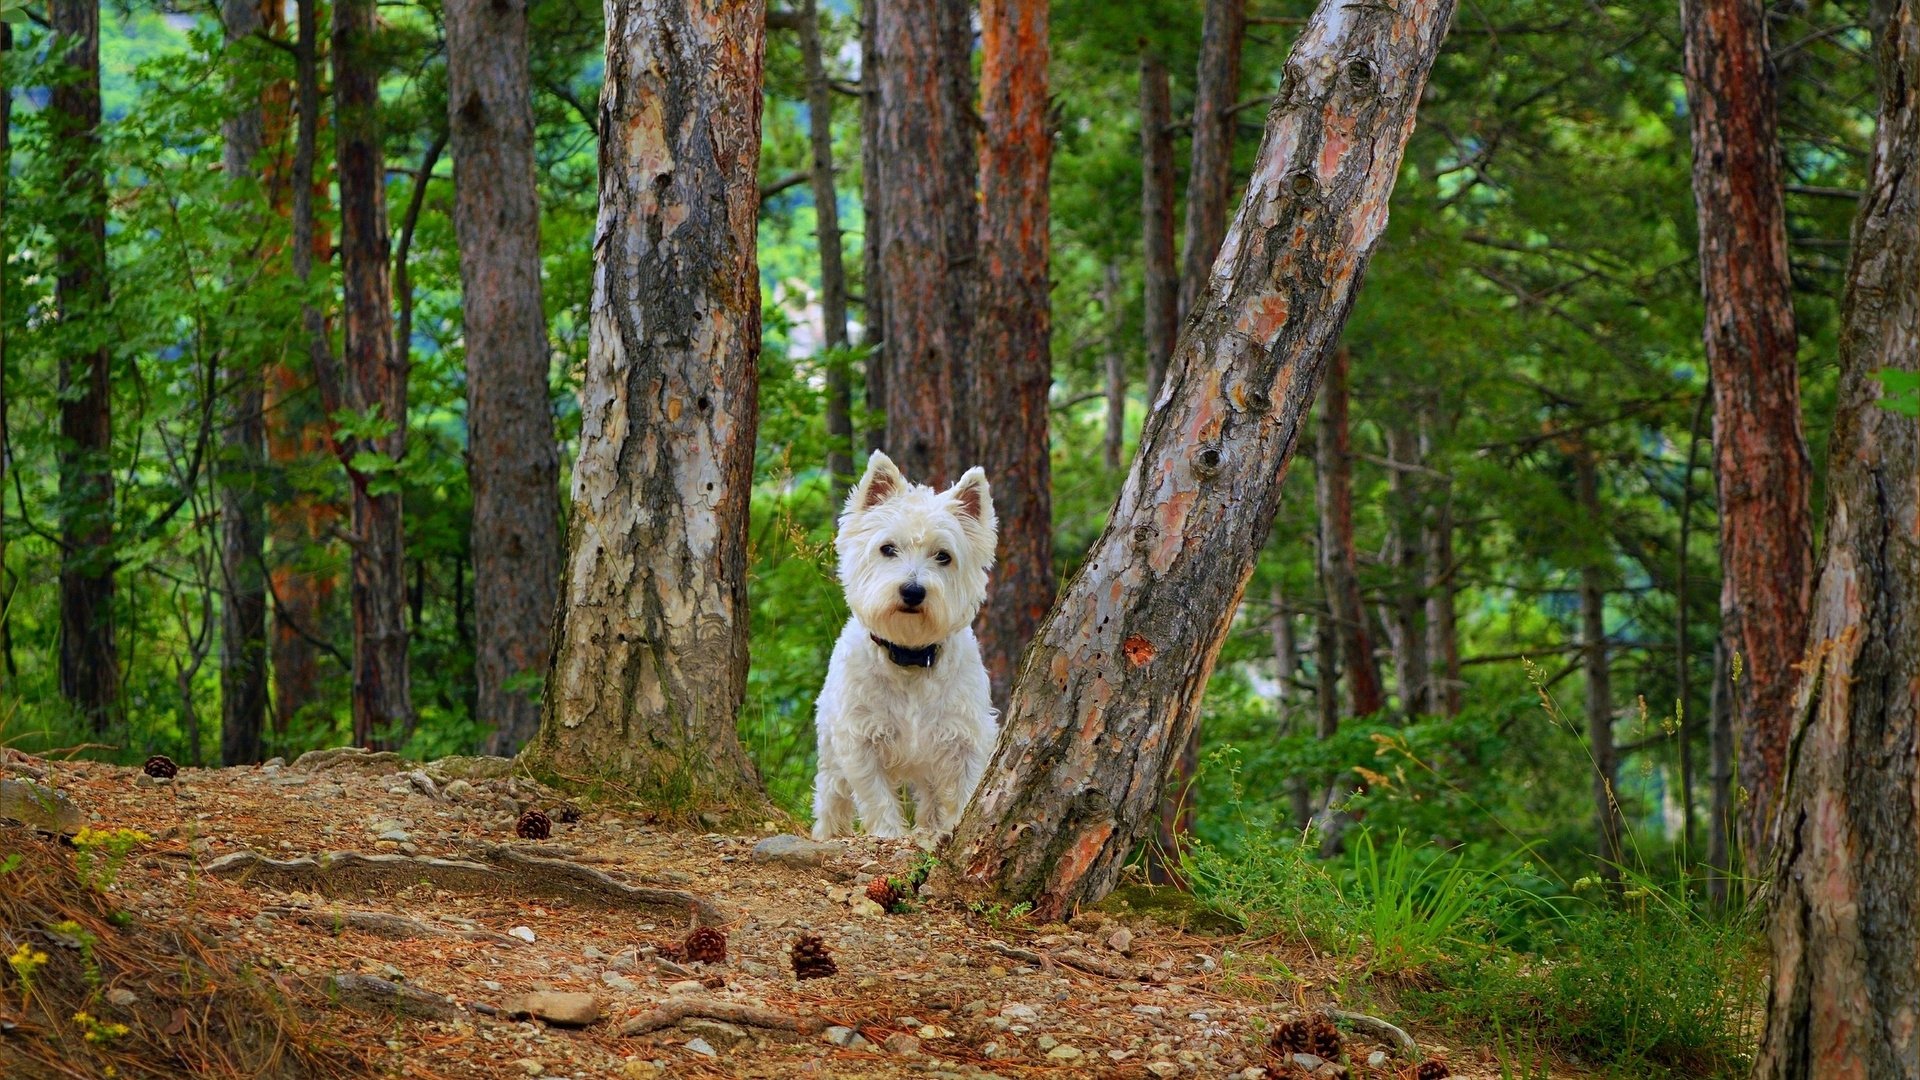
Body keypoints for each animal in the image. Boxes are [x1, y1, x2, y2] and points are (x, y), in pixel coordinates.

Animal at [810, 449, 998, 837]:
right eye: (887, 548)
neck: (910, 655)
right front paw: (888, 834)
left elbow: (966, 789)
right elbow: (877, 796)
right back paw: (826, 833)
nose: (913, 591)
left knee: (929, 798)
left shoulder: (965, 736)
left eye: (943, 556)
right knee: (831, 796)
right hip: (831, 749)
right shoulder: (860, 739)